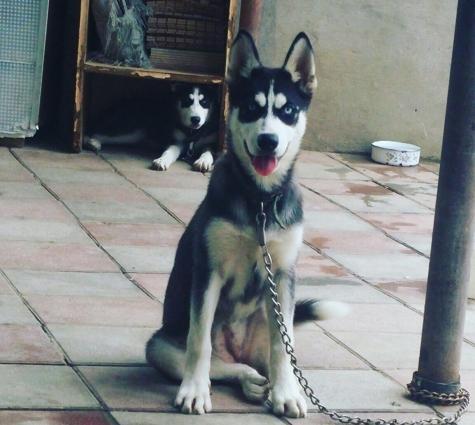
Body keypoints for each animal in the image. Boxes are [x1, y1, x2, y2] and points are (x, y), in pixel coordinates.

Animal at [84, 84, 218, 172]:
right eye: (186, 101)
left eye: (204, 102)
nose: (195, 119)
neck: (193, 133)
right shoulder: (176, 141)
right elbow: (169, 151)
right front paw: (162, 160)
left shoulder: (212, 143)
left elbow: (208, 152)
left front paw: (203, 161)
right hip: (132, 131)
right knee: (96, 132)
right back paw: (92, 142)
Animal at [146, 31, 347, 418]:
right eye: (252, 108)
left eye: (287, 111)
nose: (268, 140)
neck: (260, 203)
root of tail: (239, 350)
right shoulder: (208, 270)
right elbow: (199, 342)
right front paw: (194, 392)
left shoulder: (282, 273)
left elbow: (283, 348)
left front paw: (287, 395)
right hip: (159, 345)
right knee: (222, 364)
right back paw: (250, 381)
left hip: (272, 322)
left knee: (279, 355)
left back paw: (281, 386)